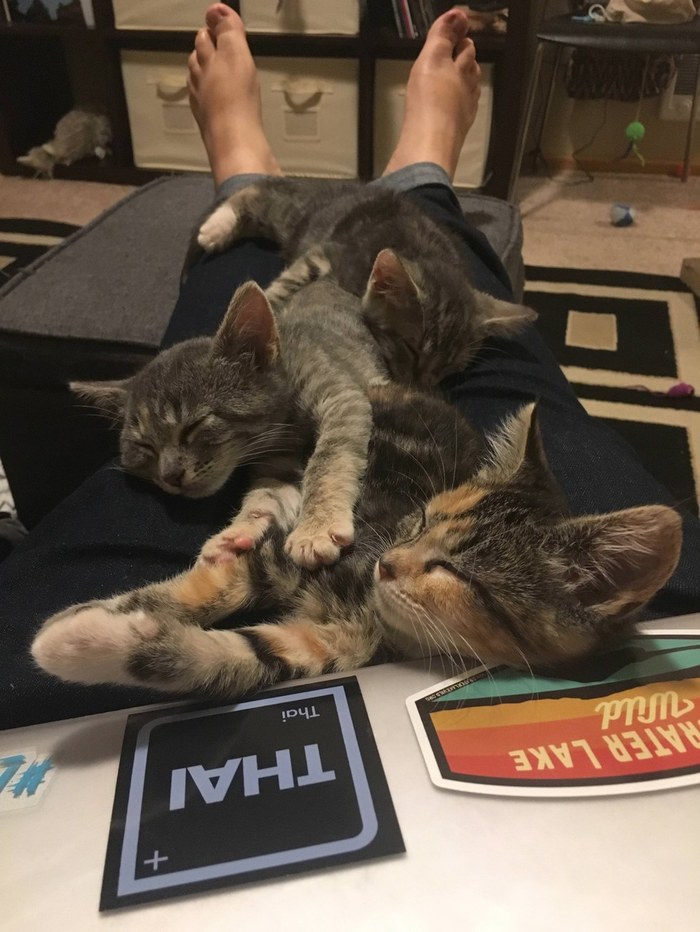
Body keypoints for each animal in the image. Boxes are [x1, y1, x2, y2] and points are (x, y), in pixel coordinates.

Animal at [32, 382, 682, 700]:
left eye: (456, 573)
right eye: (418, 522)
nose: (387, 565)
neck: (369, 608)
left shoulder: (330, 648)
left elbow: (240, 658)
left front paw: (79, 644)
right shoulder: (294, 558)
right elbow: (215, 587)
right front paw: (91, 618)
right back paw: (235, 530)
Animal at [72, 277, 389, 569]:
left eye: (194, 425)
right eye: (145, 446)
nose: (170, 476)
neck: (282, 425)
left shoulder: (342, 399)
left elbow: (327, 460)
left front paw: (315, 528)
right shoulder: (277, 461)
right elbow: (267, 495)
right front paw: (237, 534)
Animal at [193, 177, 536, 386]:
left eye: (447, 369)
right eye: (411, 348)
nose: (419, 385)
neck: (425, 252)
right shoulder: (326, 254)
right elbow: (282, 288)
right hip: (296, 214)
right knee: (257, 190)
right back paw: (214, 228)